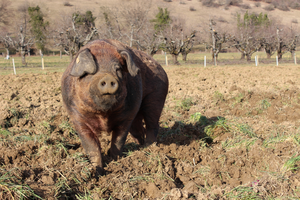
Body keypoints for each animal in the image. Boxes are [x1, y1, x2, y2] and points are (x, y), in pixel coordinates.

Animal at [61, 39, 169, 175]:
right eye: (93, 71)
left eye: (117, 70)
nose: (108, 77)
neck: (103, 114)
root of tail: (160, 67)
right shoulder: (77, 118)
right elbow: (92, 148)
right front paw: (97, 170)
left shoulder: (126, 118)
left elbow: (118, 141)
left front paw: (115, 161)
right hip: (137, 114)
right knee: (139, 130)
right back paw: (140, 147)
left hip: (156, 97)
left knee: (152, 125)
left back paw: (148, 148)